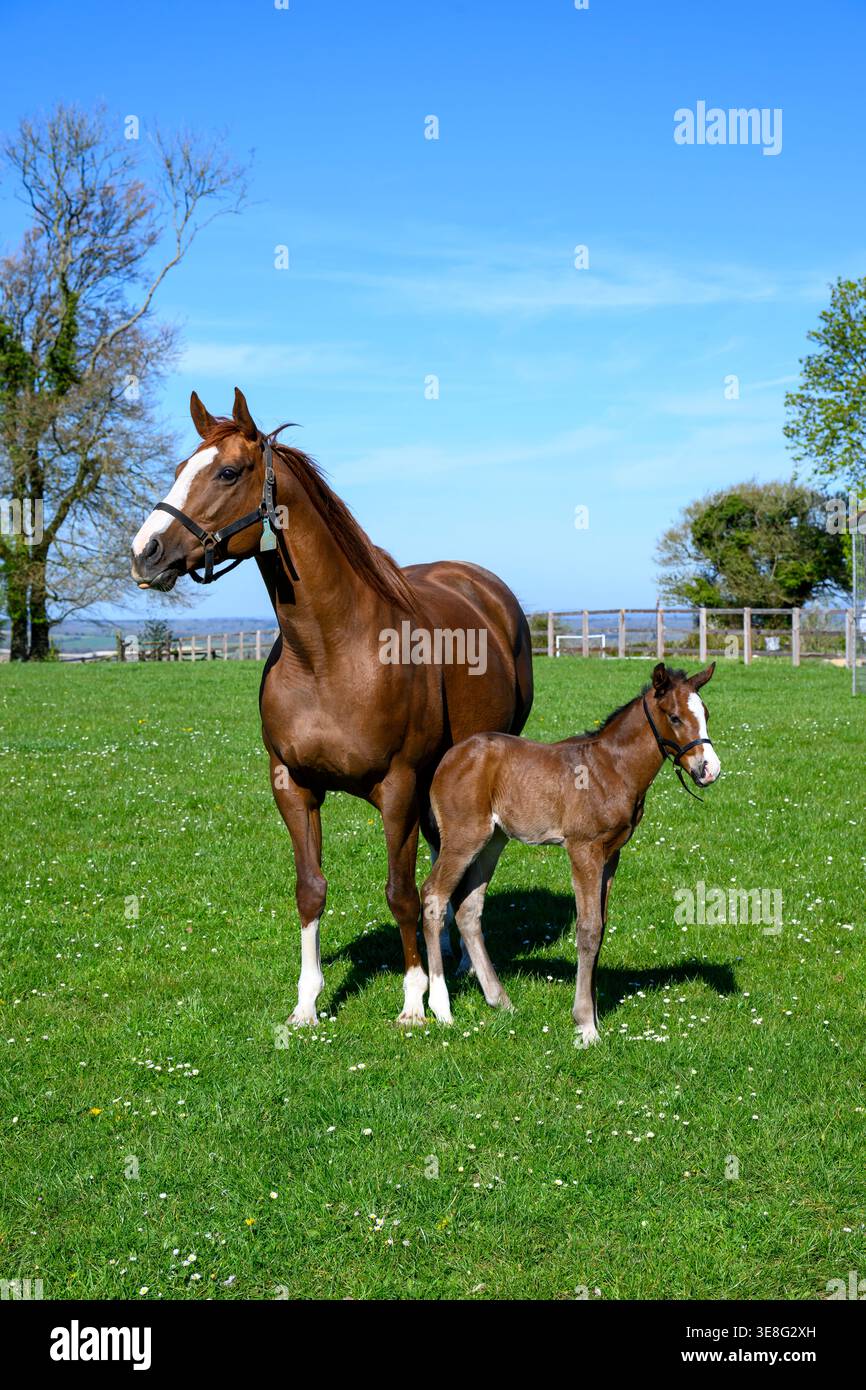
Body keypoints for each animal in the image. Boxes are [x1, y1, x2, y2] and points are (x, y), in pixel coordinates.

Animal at [131, 388, 533, 1024]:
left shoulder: (398, 787)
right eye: (177, 470)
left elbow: (400, 893)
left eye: (228, 472)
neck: (329, 652)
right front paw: (306, 1004)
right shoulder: (292, 785)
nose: (144, 554)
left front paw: (414, 1000)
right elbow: (311, 889)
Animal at [420, 661, 720, 1043]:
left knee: (468, 910)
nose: (710, 770)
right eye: (675, 717)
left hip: (492, 842)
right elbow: (588, 928)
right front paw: (586, 1025)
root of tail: (447, 760)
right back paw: (441, 1008)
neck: (611, 769)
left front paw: (594, 1015)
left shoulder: (611, 854)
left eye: (706, 714)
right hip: (463, 839)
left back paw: (500, 1000)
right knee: (434, 895)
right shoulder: (583, 849)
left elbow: (601, 927)